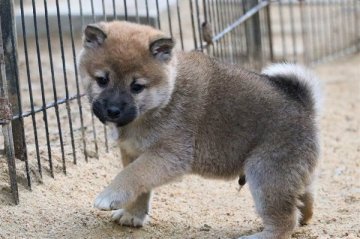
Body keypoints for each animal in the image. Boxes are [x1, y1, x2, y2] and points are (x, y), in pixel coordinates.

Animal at [78, 21, 320, 239]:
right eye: (102, 80)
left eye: (136, 87)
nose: (113, 110)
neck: (166, 98)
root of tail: (303, 106)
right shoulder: (134, 152)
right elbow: (141, 187)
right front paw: (132, 215)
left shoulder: (169, 155)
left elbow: (132, 174)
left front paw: (110, 195)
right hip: (288, 176)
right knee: (303, 202)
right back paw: (305, 216)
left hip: (265, 174)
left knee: (285, 222)